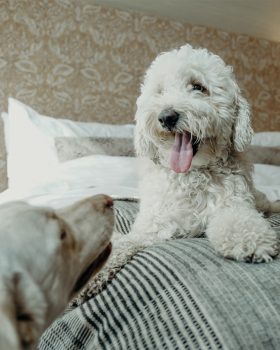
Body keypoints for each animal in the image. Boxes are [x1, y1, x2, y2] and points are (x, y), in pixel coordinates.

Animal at [132, 43, 280, 262]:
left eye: (198, 87)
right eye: (160, 91)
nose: (166, 117)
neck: (194, 173)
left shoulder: (233, 204)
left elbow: (239, 220)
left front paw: (251, 241)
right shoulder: (156, 218)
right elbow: (135, 238)